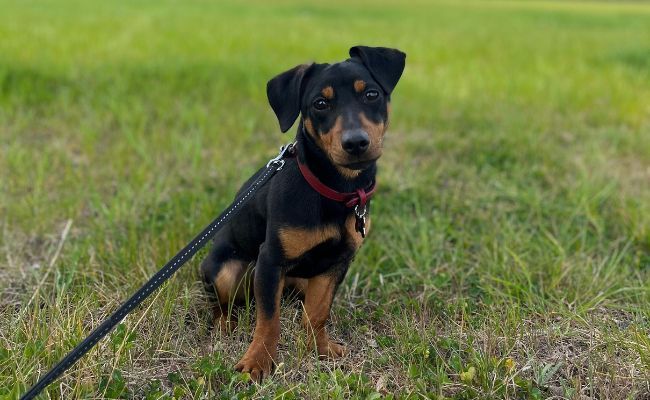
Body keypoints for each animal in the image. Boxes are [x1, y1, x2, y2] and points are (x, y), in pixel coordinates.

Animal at [201, 46, 404, 382]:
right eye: (320, 103)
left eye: (371, 94)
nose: (356, 143)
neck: (335, 189)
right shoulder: (271, 261)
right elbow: (269, 321)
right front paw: (258, 362)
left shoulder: (336, 263)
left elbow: (318, 313)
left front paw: (320, 349)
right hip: (224, 270)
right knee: (224, 305)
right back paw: (224, 326)